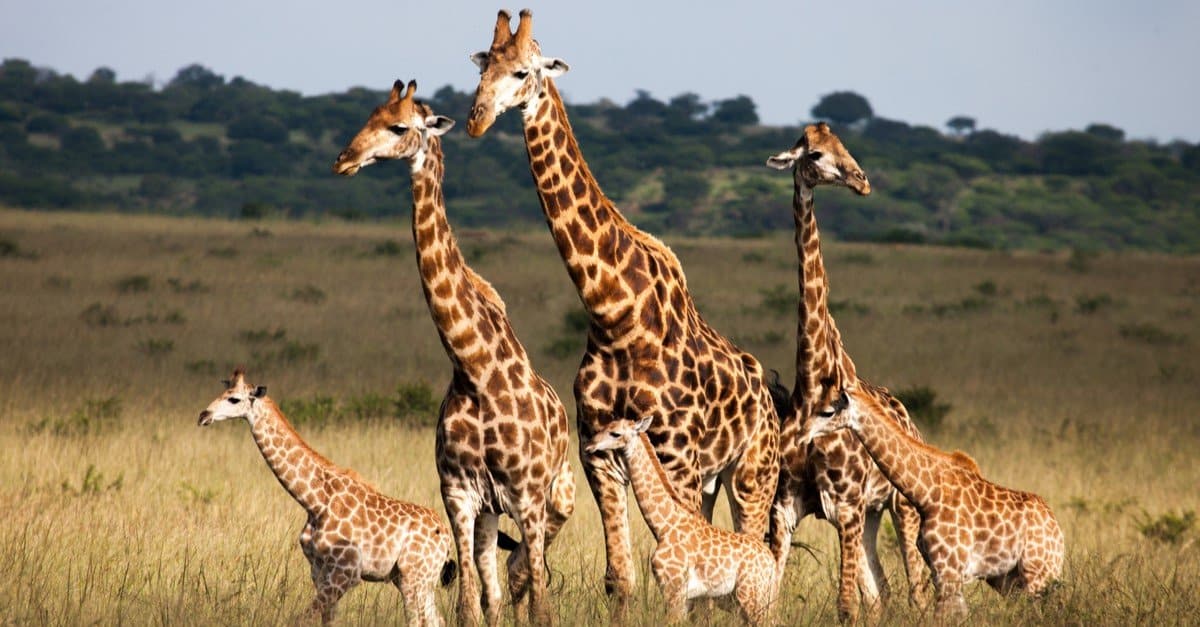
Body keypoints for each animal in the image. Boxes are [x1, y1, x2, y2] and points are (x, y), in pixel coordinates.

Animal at [197, 368, 455, 626]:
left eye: (234, 399)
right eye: (223, 392)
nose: (203, 415)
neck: (314, 501)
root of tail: (446, 539)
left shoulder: (347, 572)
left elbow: (303, 618)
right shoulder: (319, 570)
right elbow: (327, 619)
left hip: (414, 577)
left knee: (419, 620)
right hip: (415, 579)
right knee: (437, 619)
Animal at [333, 81, 575, 627]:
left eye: (399, 126)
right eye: (368, 116)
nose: (344, 160)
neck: (475, 369)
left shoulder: (527, 495)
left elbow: (542, 604)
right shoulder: (460, 494)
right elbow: (469, 604)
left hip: (554, 499)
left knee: (529, 575)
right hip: (490, 514)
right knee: (500, 588)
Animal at [585, 417, 778, 625]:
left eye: (616, 434)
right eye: (605, 427)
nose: (589, 446)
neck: (663, 526)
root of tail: (771, 563)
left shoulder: (673, 589)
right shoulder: (684, 598)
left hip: (751, 595)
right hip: (758, 597)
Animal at [764, 123, 930, 621]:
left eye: (845, 146)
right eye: (816, 154)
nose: (862, 180)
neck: (811, 382)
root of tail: (911, 420)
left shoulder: (848, 506)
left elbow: (846, 607)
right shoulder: (787, 507)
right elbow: (770, 598)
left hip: (898, 505)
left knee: (915, 592)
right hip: (873, 516)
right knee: (883, 595)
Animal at [800, 386, 1065, 617]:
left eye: (828, 411)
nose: (801, 432)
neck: (926, 492)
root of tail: (1057, 528)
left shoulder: (948, 572)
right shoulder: (941, 572)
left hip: (1038, 573)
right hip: (1009, 579)